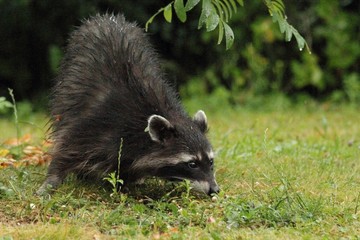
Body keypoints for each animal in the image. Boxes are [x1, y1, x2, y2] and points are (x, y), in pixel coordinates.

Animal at [37, 13, 219, 196]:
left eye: (210, 162)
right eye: (192, 164)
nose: (215, 190)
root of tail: (108, 17)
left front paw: (126, 181)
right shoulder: (97, 121)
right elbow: (67, 146)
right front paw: (52, 179)